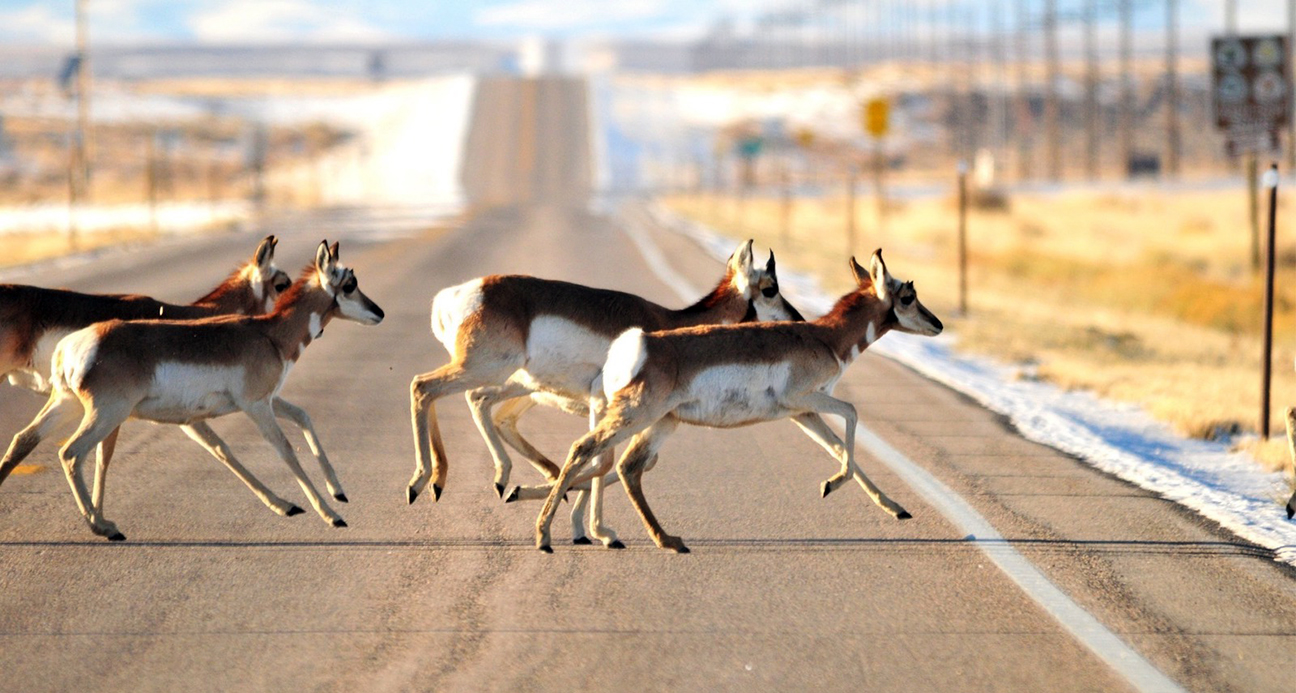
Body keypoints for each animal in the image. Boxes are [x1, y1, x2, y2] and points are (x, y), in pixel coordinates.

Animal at [0, 240, 383, 538]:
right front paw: (331, 515)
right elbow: (285, 450)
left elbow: (301, 418)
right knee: (70, 453)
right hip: (105, 415)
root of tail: (73, 344)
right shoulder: (256, 406)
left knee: (28, 440)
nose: (379, 312)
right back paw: (104, 527)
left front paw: (334, 494)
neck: (268, 333)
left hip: (68, 405)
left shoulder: (261, 401)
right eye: (350, 283)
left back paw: (102, 522)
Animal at [409, 240, 803, 544]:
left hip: (515, 383)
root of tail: (458, 294)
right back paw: (426, 481)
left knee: (478, 403)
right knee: (424, 387)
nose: (800, 322)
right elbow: (604, 461)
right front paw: (600, 531)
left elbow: (612, 462)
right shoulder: (608, 405)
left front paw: (584, 528)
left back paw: (494, 480)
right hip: (486, 369)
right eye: (770, 288)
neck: (669, 323)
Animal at [533, 249, 943, 554]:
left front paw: (894, 508)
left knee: (627, 466)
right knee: (585, 449)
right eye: (908, 296)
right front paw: (832, 485)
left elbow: (839, 447)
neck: (824, 337)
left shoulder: (803, 413)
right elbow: (853, 415)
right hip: (637, 416)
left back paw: (667, 540)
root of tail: (640, 343)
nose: (938, 325)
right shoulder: (805, 398)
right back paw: (545, 536)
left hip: (662, 421)